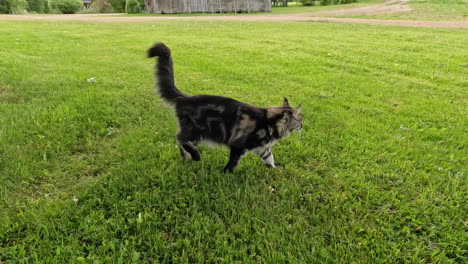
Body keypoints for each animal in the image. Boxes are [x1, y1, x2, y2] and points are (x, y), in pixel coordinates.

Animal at [148, 42, 306, 172]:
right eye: (300, 120)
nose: (302, 126)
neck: (268, 123)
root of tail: (184, 97)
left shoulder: (263, 149)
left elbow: (270, 159)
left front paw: (276, 170)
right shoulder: (238, 145)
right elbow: (233, 163)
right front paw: (226, 173)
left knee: (180, 142)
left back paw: (187, 158)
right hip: (197, 131)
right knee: (180, 139)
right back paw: (195, 156)